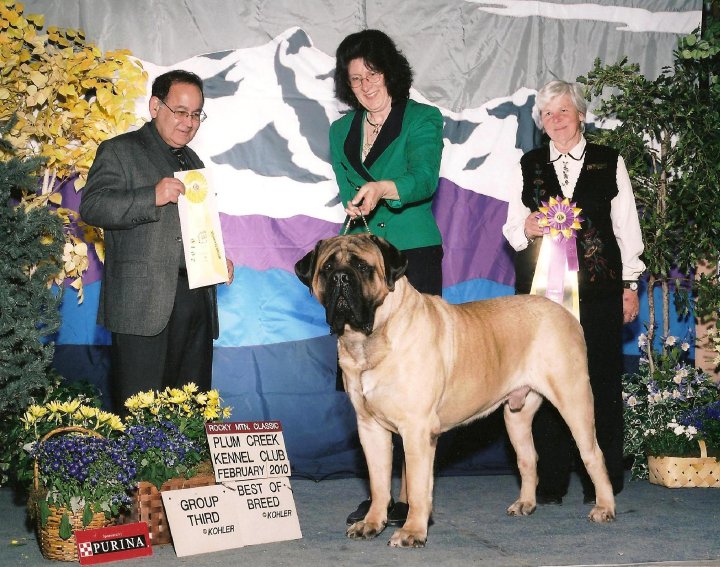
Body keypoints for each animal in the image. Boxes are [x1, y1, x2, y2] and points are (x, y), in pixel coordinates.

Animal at [294, 234, 615, 548]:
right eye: (326, 268)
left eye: (363, 267)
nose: (341, 278)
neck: (371, 338)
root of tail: (564, 312)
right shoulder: (370, 428)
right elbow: (379, 482)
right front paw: (371, 524)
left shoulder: (417, 430)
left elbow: (418, 487)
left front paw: (412, 532)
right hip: (516, 416)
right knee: (527, 458)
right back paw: (525, 503)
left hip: (574, 400)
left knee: (593, 455)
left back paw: (604, 507)